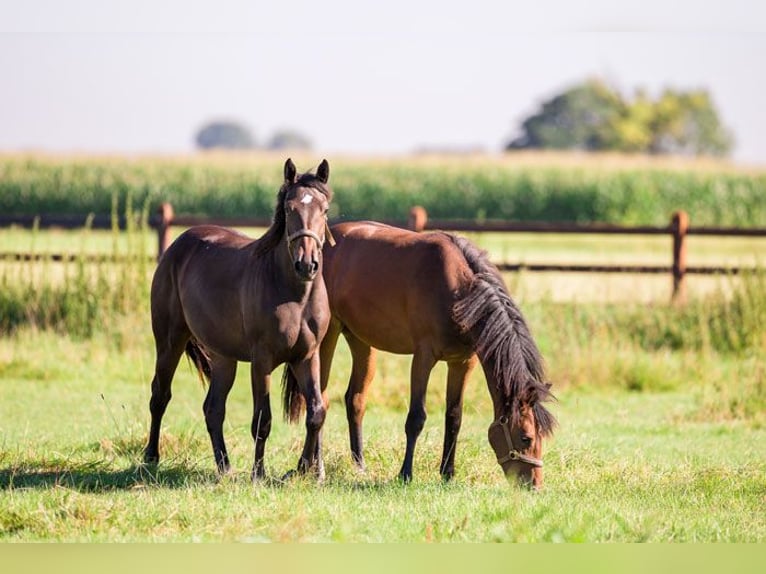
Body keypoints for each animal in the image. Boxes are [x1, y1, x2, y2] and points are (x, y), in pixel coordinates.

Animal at [143, 158, 334, 480]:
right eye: (288, 209)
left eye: (325, 209)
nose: (307, 264)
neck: (294, 295)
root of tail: (177, 246)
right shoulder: (262, 360)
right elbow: (263, 420)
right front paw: (259, 474)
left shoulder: (307, 356)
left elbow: (316, 412)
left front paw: (308, 471)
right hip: (170, 341)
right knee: (160, 396)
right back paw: (150, 457)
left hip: (223, 356)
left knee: (213, 408)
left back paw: (225, 467)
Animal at [285, 221, 556, 488]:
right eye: (526, 437)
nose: (535, 485)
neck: (458, 290)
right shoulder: (423, 357)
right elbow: (416, 417)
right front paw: (405, 473)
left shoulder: (462, 362)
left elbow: (454, 417)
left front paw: (448, 473)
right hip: (328, 337)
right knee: (321, 398)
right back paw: (314, 468)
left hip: (361, 341)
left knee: (355, 400)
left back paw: (358, 467)